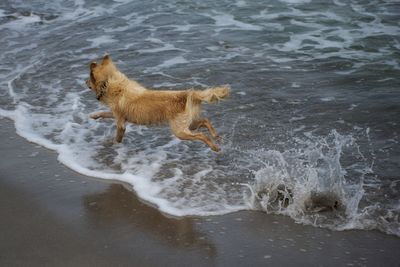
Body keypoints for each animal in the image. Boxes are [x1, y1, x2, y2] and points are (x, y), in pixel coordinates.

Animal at [86, 55, 230, 152]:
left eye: (88, 78)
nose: (84, 82)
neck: (109, 82)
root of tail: (187, 94)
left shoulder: (121, 122)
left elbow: (117, 137)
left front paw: (113, 145)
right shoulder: (117, 115)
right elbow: (105, 113)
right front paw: (94, 115)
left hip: (180, 131)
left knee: (201, 135)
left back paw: (214, 146)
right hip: (189, 124)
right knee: (205, 121)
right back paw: (216, 136)